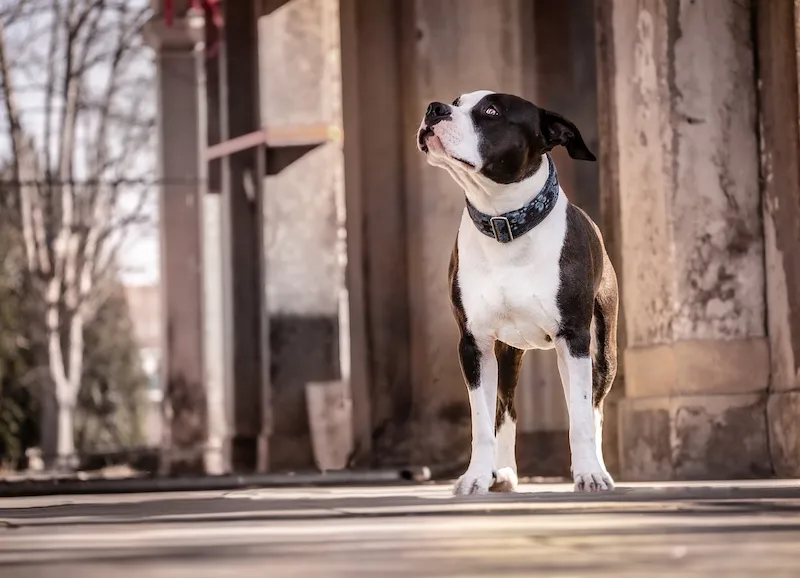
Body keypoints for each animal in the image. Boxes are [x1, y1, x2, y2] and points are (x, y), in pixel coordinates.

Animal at [418, 90, 620, 490]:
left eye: (491, 111)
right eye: (456, 102)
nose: (434, 109)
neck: (504, 221)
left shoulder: (574, 338)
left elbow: (581, 417)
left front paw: (588, 473)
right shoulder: (474, 344)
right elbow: (482, 422)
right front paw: (476, 477)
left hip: (603, 351)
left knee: (593, 407)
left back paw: (598, 467)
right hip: (508, 352)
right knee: (505, 407)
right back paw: (504, 473)